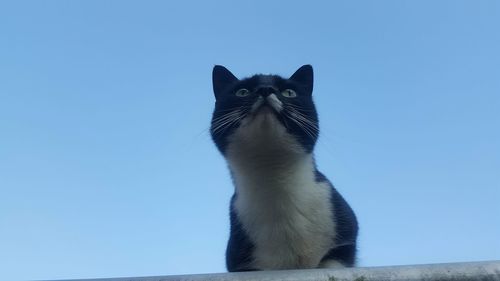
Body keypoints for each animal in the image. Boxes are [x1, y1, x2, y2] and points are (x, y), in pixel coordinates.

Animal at [209, 64, 358, 270]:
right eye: (242, 91)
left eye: (289, 92)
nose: (265, 89)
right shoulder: (242, 262)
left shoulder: (344, 233)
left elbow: (332, 263)